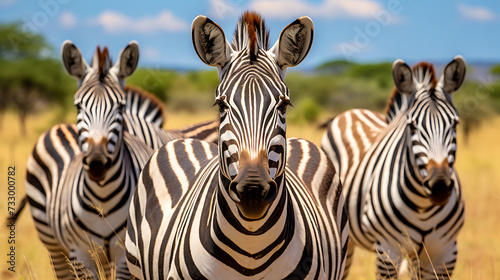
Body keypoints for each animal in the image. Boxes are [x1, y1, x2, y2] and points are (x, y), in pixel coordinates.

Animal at [23, 40, 184, 278]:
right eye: (78, 105)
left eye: (121, 106)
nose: (97, 163)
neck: (102, 195)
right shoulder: (80, 255)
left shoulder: (124, 255)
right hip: (52, 242)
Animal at [322, 56, 466, 278]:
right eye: (412, 126)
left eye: (454, 124)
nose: (440, 187)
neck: (423, 207)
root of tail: (351, 112)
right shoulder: (389, 251)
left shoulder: (445, 253)